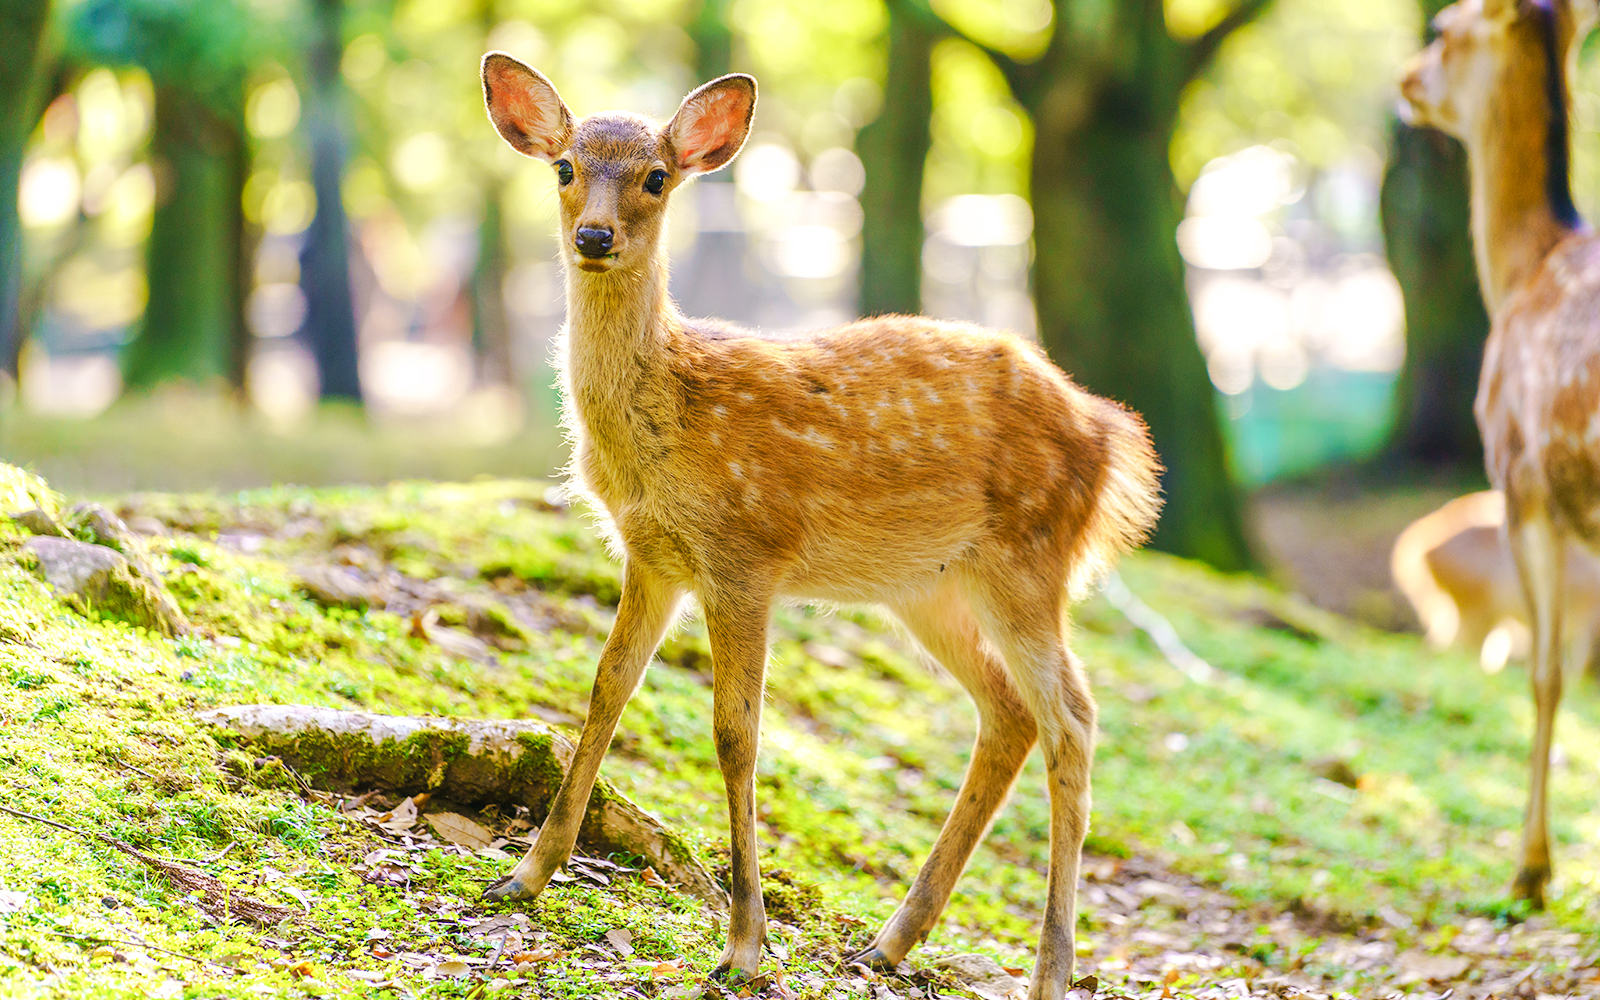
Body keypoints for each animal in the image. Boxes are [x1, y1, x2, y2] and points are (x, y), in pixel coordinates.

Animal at [479, 53, 1162, 995]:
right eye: (564, 168)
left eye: (656, 176)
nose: (594, 237)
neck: (667, 418)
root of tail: (1112, 437)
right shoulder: (652, 556)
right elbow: (605, 690)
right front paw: (524, 875)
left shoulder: (745, 555)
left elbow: (737, 734)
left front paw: (743, 945)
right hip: (927, 586)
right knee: (1009, 713)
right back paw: (889, 941)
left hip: (1030, 558)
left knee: (1073, 720)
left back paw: (1048, 970)